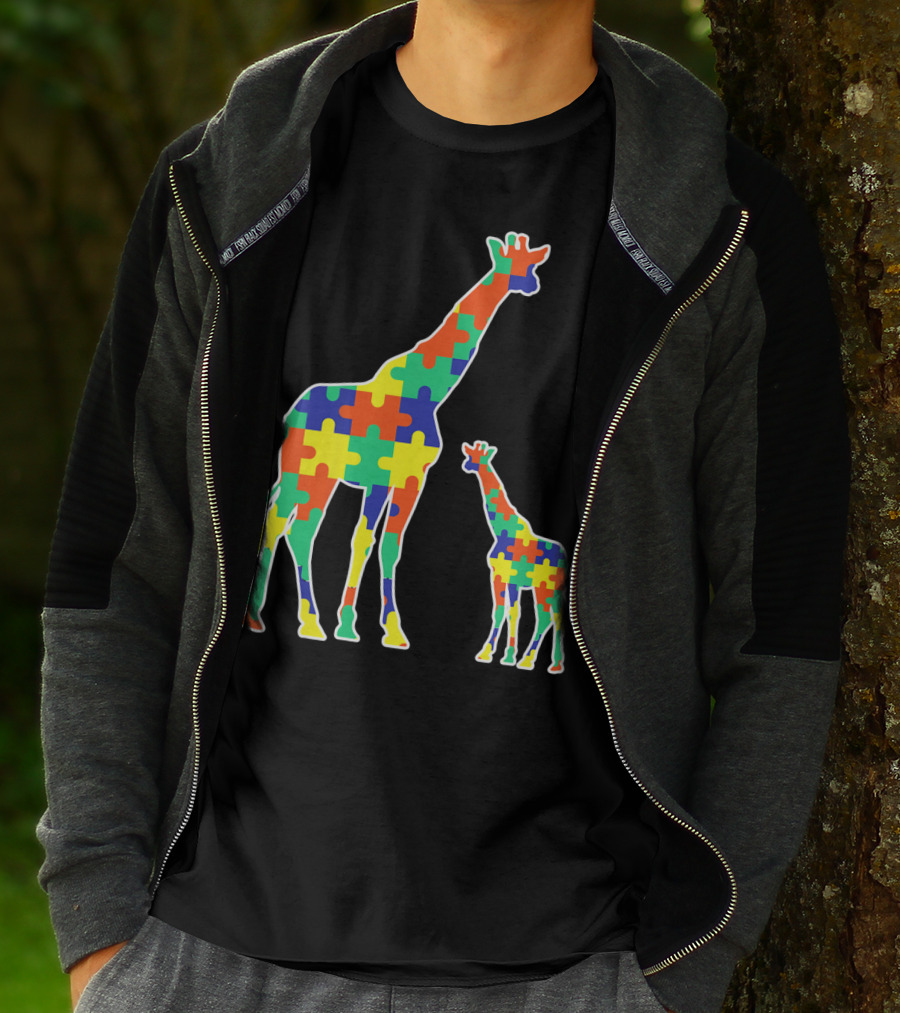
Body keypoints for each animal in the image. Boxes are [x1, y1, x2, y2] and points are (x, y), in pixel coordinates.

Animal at [246, 233, 551, 650]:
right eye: (512, 264)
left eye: (531, 264)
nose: (533, 284)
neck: (427, 392)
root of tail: (292, 413)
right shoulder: (388, 477)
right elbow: (371, 542)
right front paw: (362, 628)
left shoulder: (402, 479)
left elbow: (383, 544)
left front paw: (376, 628)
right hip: (306, 471)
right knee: (283, 523)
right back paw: (278, 619)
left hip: (320, 477)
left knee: (296, 528)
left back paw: (300, 621)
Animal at [461, 441, 566, 673]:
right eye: (470, 455)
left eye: (477, 458)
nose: (466, 465)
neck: (501, 530)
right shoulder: (512, 580)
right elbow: (512, 613)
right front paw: (507, 656)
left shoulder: (499, 576)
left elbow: (501, 612)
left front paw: (488, 653)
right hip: (548, 589)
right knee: (551, 617)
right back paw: (549, 662)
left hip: (546, 587)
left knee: (549, 617)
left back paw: (534, 661)